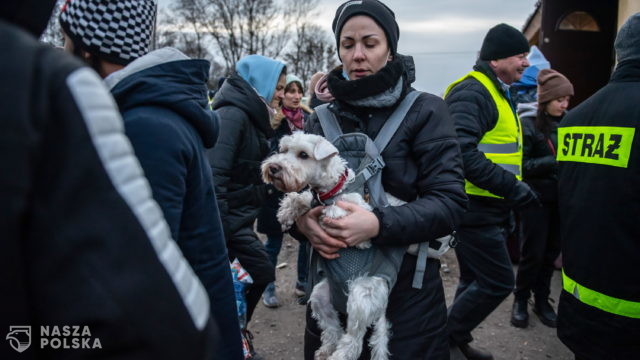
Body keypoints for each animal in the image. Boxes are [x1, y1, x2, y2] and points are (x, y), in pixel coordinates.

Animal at [262, 133, 392, 360]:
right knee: (333, 329)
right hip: (319, 297)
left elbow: (335, 210)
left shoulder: (358, 214)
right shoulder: (313, 198)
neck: (333, 188)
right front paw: (286, 213)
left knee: (354, 341)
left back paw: (338, 355)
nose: (274, 167)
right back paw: (325, 351)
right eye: (284, 149)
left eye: (303, 155)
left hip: (360, 296)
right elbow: (302, 197)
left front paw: (326, 214)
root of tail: (382, 307)